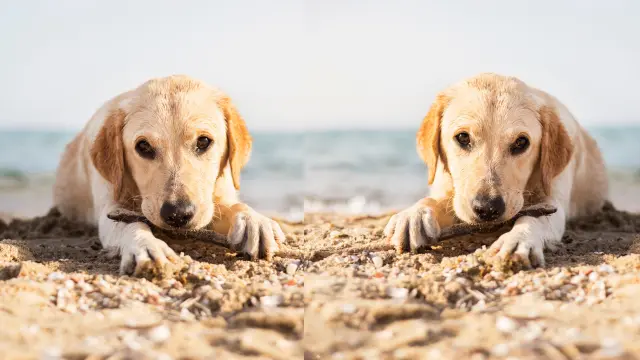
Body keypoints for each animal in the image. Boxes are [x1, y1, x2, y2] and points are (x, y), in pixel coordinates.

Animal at [53, 74, 284, 274]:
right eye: (143, 146)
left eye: (203, 141)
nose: (178, 214)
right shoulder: (109, 208)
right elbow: (131, 224)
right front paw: (146, 245)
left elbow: (234, 206)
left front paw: (254, 221)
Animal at [382, 72, 608, 268]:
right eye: (463, 137)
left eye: (521, 142)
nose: (487, 208)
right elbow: (433, 200)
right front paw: (414, 215)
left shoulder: (554, 203)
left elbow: (533, 217)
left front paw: (517, 239)